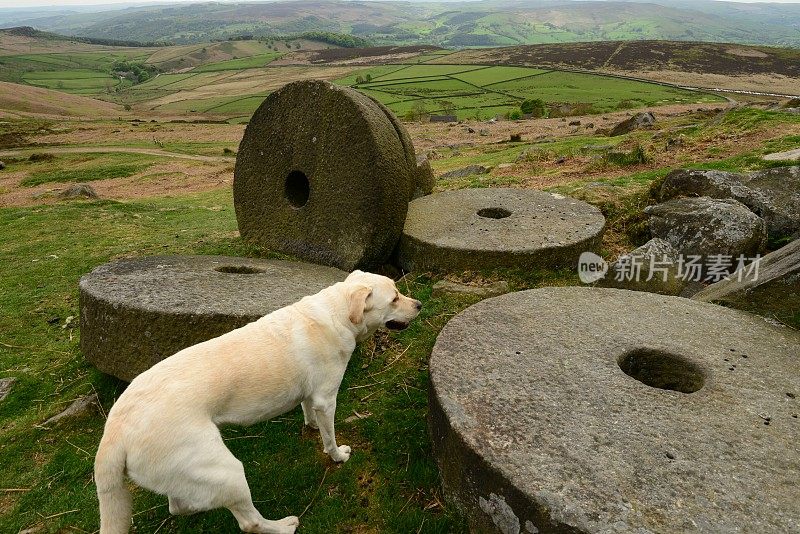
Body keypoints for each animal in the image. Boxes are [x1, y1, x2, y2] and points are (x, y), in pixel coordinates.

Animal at [94, 272, 422, 534]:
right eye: (395, 298)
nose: (419, 305)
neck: (336, 313)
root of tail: (113, 432)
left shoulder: (310, 396)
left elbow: (308, 412)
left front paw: (310, 427)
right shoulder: (327, 399)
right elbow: (329, 437)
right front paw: (338, 455)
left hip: (188, 473)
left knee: (179, 505)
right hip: (227, 471)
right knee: (249, 523)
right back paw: (284, 526)